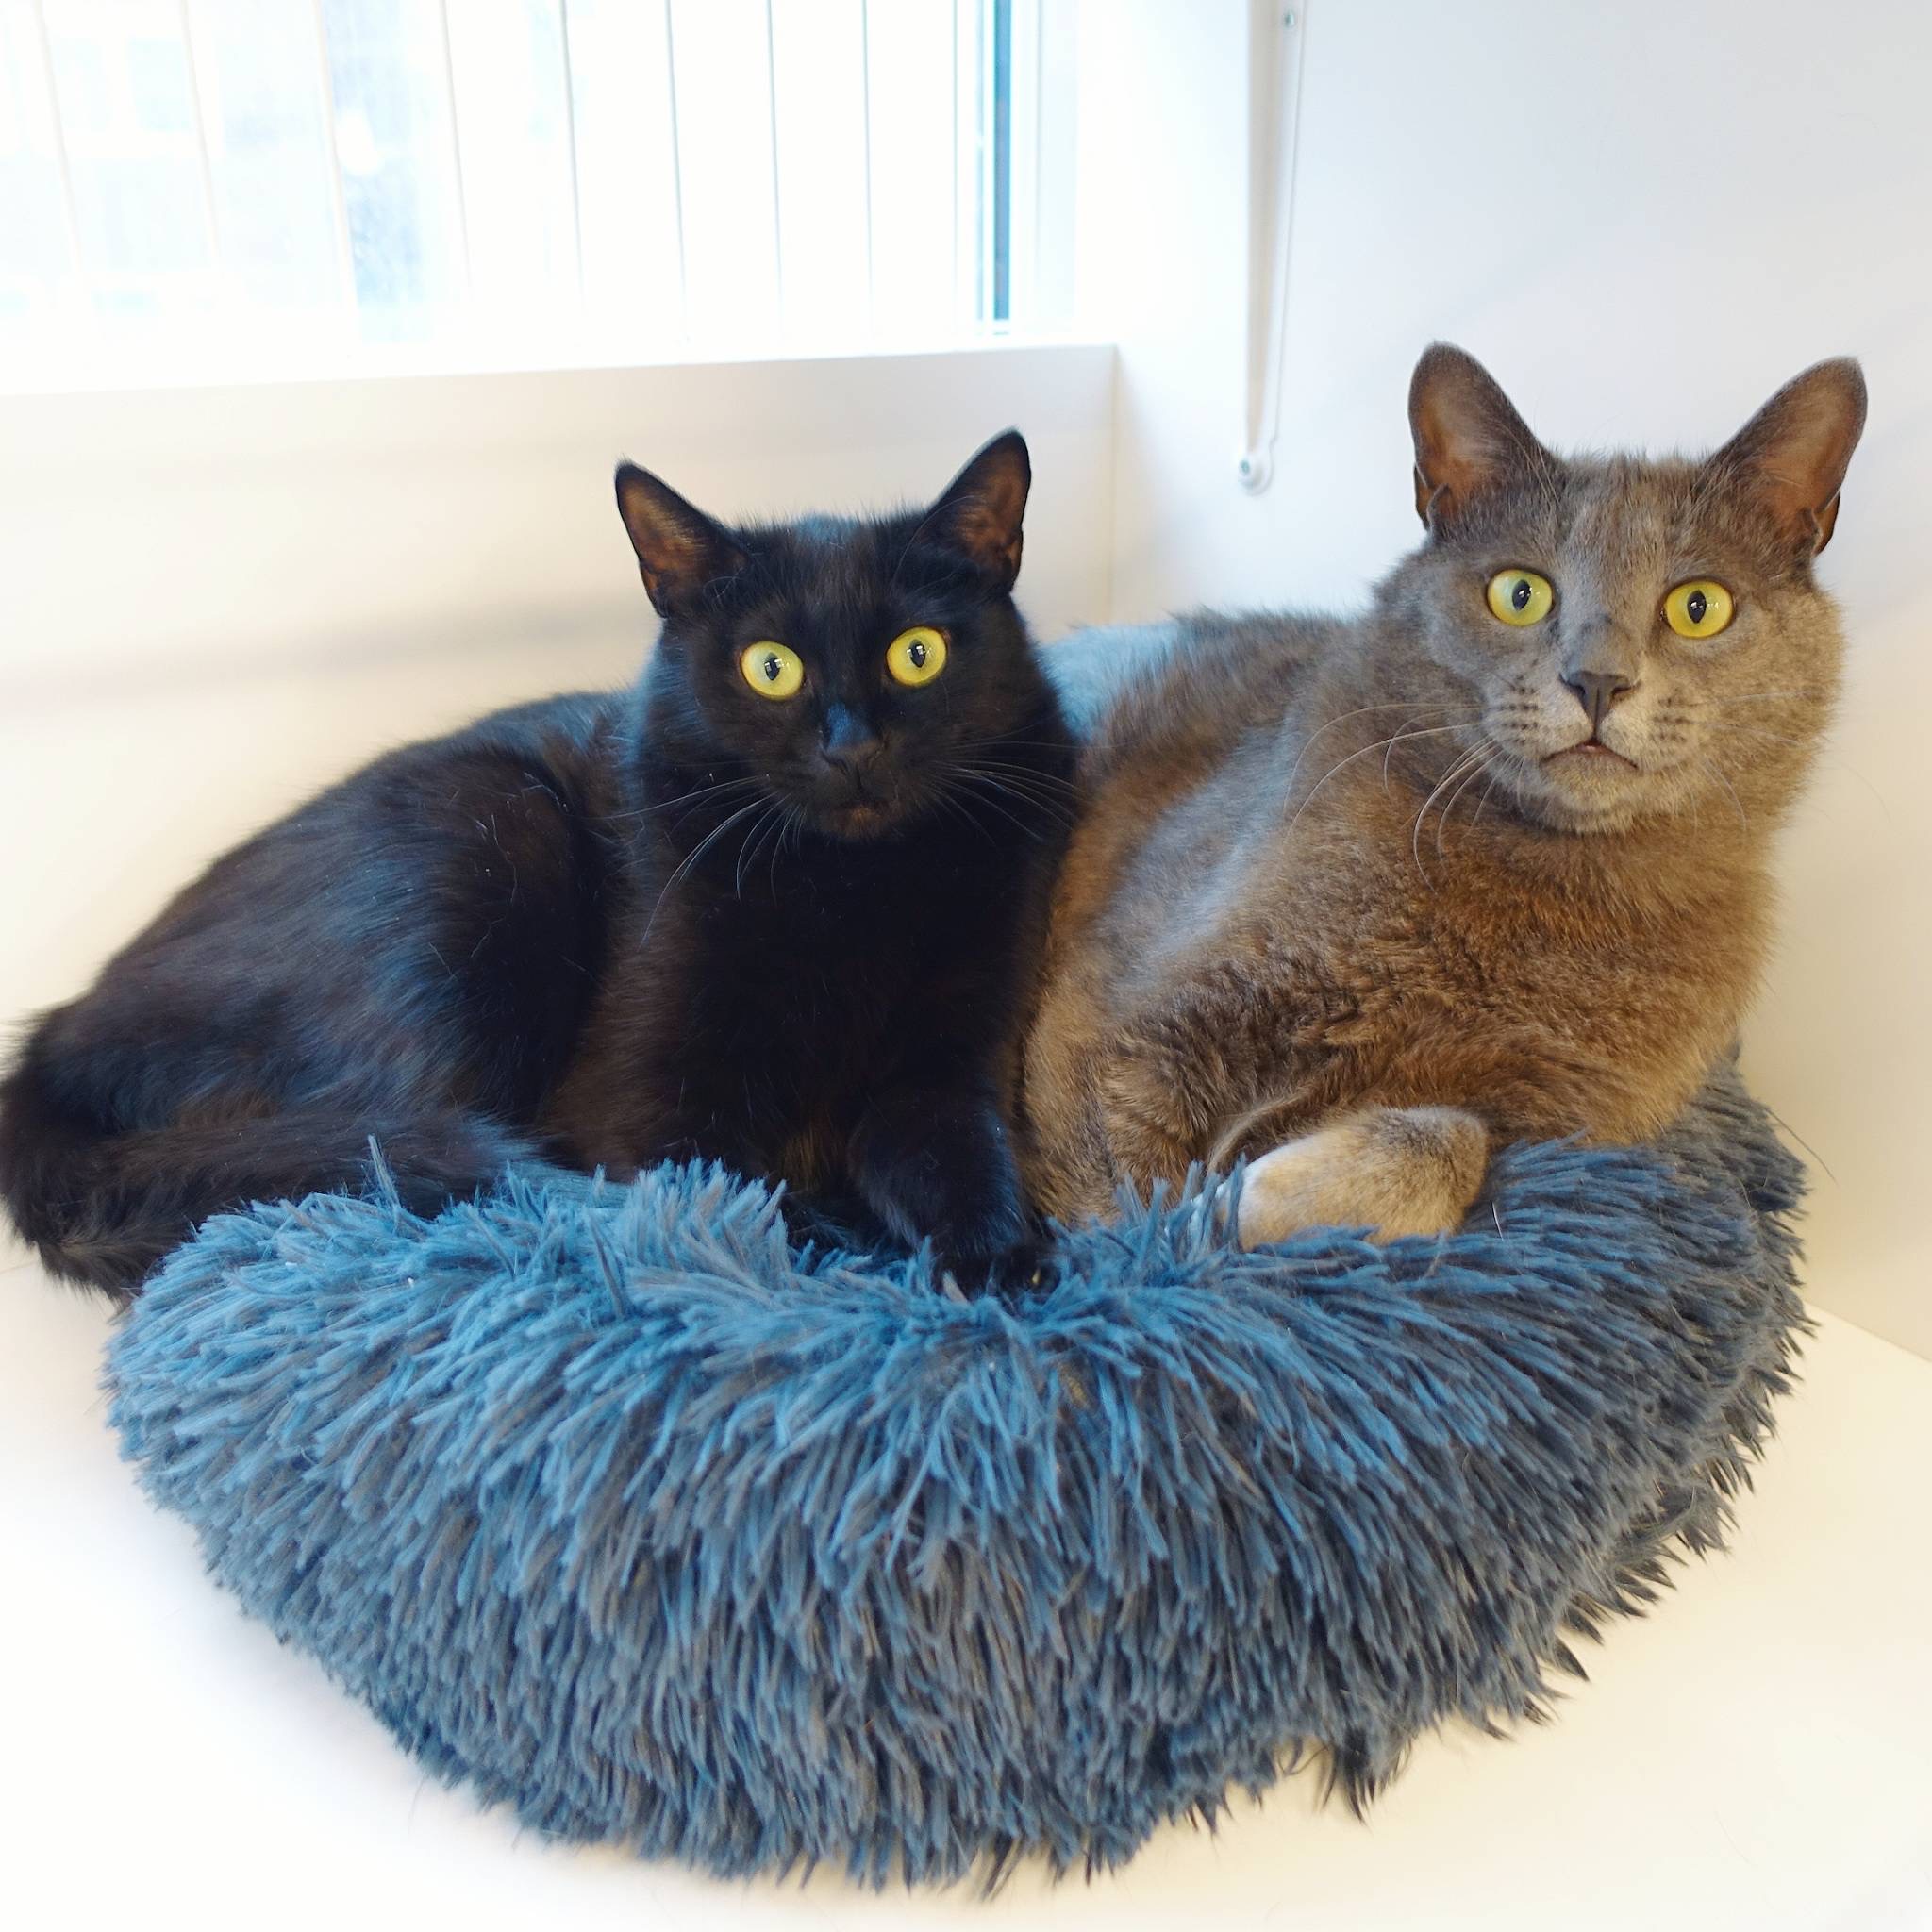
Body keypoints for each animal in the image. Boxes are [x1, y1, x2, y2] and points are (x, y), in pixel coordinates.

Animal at [0, 431, 1074, 1297]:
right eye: (769, 667)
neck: (848, 888)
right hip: (481, 835)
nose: (853, 749)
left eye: (918, 654)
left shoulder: (942, 1070)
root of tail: (58, 1039)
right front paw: (845, 1232)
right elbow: (722, 1189)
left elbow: (960, 1153)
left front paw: (995, 1258)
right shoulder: (641, 1102)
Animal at [1023, 344, 1865, 1246]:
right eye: (1519, 592)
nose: (1598, 680)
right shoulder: (1117, 1013)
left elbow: (1451, 1145)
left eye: (1699, 606)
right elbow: (1123, 1218)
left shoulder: (1542, 1125)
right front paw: (1192, 1232)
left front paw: (1247, 1200)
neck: (1551, 888)